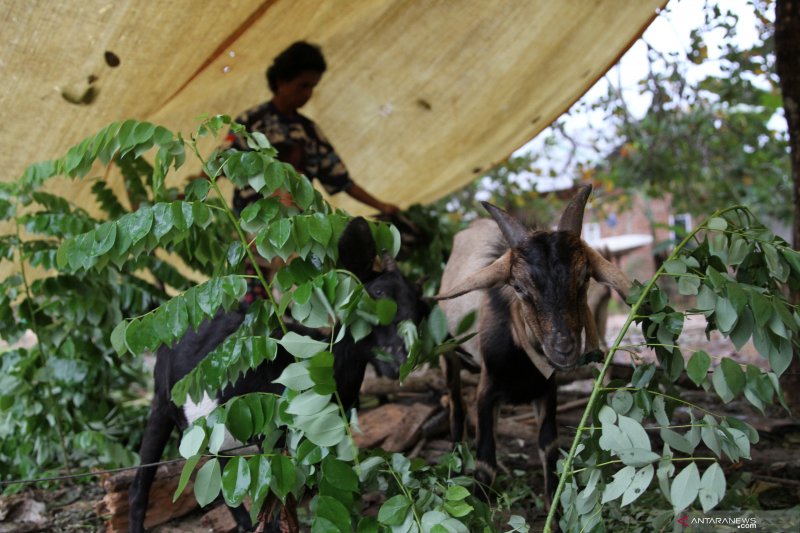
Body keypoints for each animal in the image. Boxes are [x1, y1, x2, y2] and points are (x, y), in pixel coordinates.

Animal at [126, 217, 424, 532]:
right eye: (377, 294)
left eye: (422, 307)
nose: (405, 357)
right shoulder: (268, 437)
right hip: (163, 402)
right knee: (140, 485)